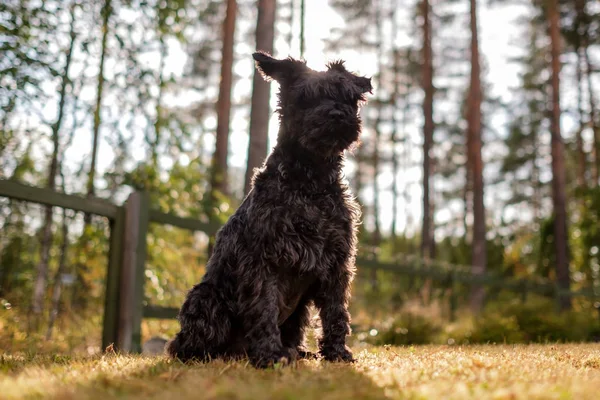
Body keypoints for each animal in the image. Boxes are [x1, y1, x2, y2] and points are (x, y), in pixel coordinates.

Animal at [166, 53, 368, 368]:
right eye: (307, 98)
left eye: (348, 97)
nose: (337, 115)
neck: (311, 182)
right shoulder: (264, 261)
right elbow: (264, 309)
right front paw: (270, 355)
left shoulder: (337, 262)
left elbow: (336, 313)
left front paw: (337, 353)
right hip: (206, 297)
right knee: (185, 346)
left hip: (299, 310)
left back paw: (298, 351)